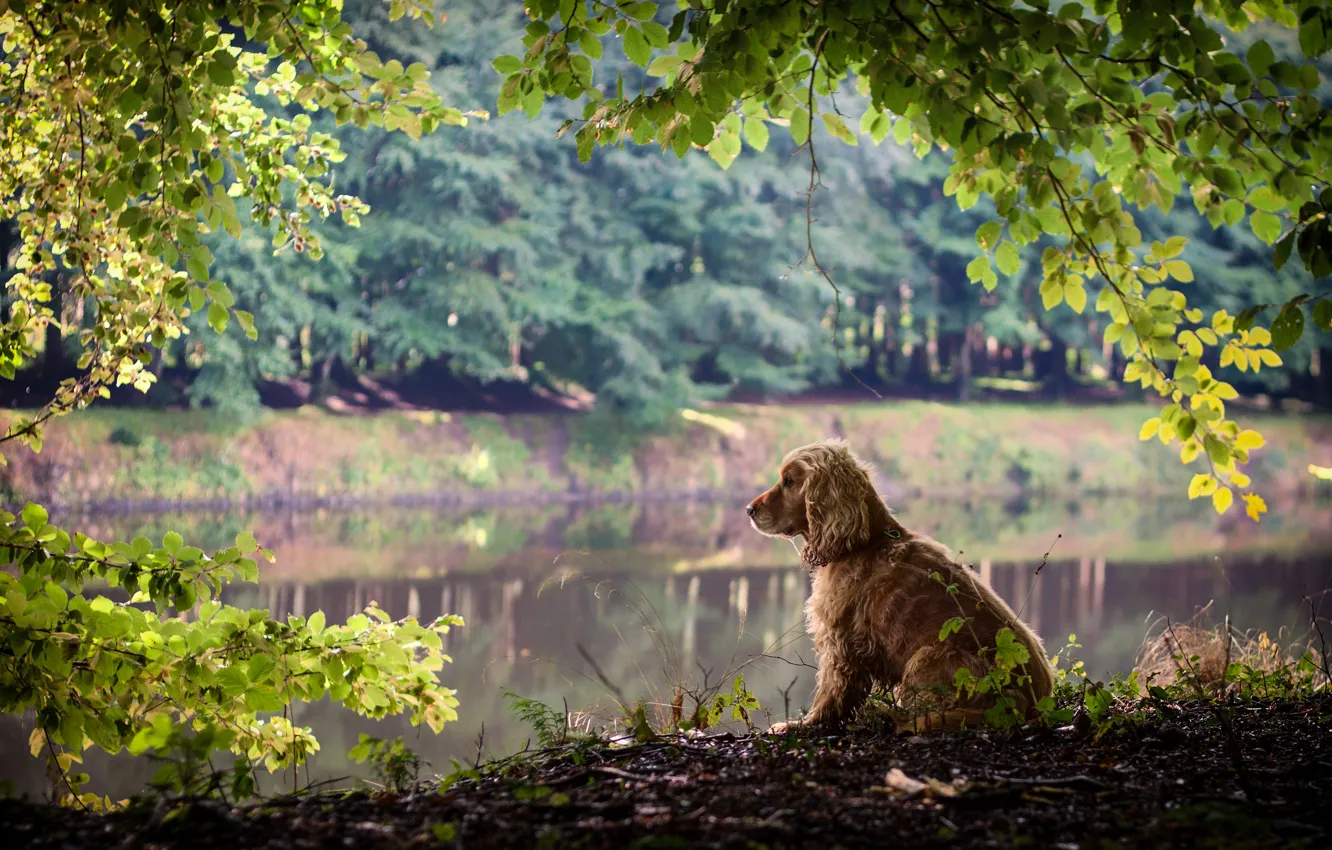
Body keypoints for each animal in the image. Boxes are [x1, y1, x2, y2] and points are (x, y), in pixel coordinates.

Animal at [751, 439, 1049, 735]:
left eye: (789, 481)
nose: (749, 510)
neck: (864, 542)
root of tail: (1029, 704)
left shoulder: (839, 639)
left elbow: (830, 690)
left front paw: (804, 723)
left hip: (928, 656)